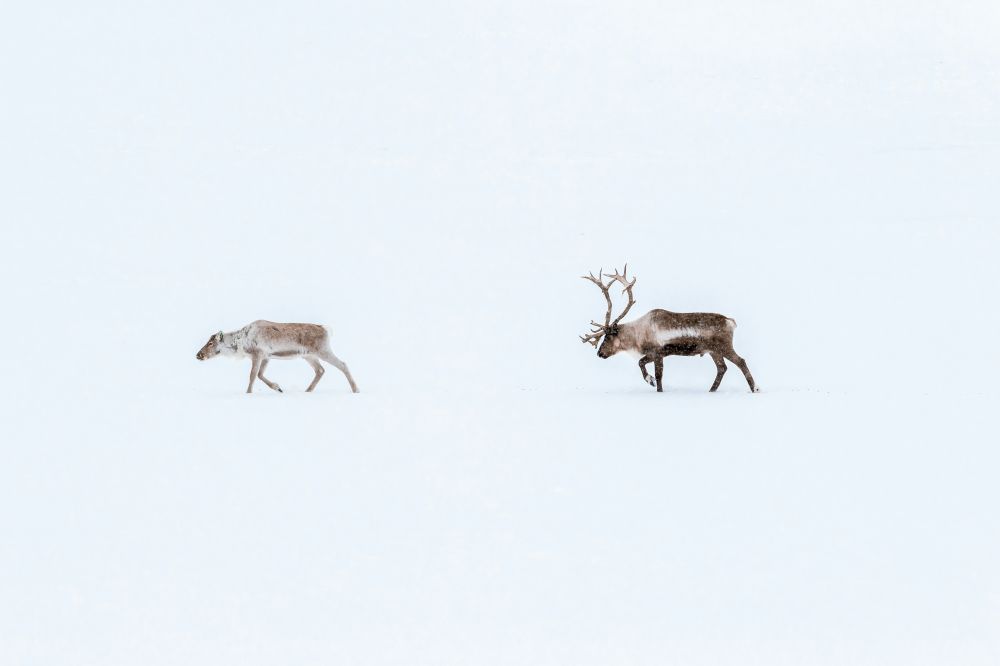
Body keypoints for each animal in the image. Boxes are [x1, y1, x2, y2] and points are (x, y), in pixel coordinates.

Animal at [196, 320, 359, 394]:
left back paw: (356, 389)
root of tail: (326, 329)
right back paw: (307, 391)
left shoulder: (258, 354)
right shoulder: (266, 356)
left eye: (210, 343)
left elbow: (252, 375)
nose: (198, 355)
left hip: (323, 351)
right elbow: (260, 375)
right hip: (309, 356)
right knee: (320, 370)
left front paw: (248, 393)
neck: (240, 342)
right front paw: (278, 388)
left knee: (342, 364)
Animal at [580, 266, 758, 393]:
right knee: (722, 368)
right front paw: (652, 382)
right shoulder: (658, 354)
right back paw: (711, 390)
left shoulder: (657, 352)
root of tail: (730, 322)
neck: (637, 334)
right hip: (713, 351)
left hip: (724, 346)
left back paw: (755, 389)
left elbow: (653, 372)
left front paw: (652, 382)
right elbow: (644, 365)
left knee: (741, 361)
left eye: (607, 337)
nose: (599, 353)